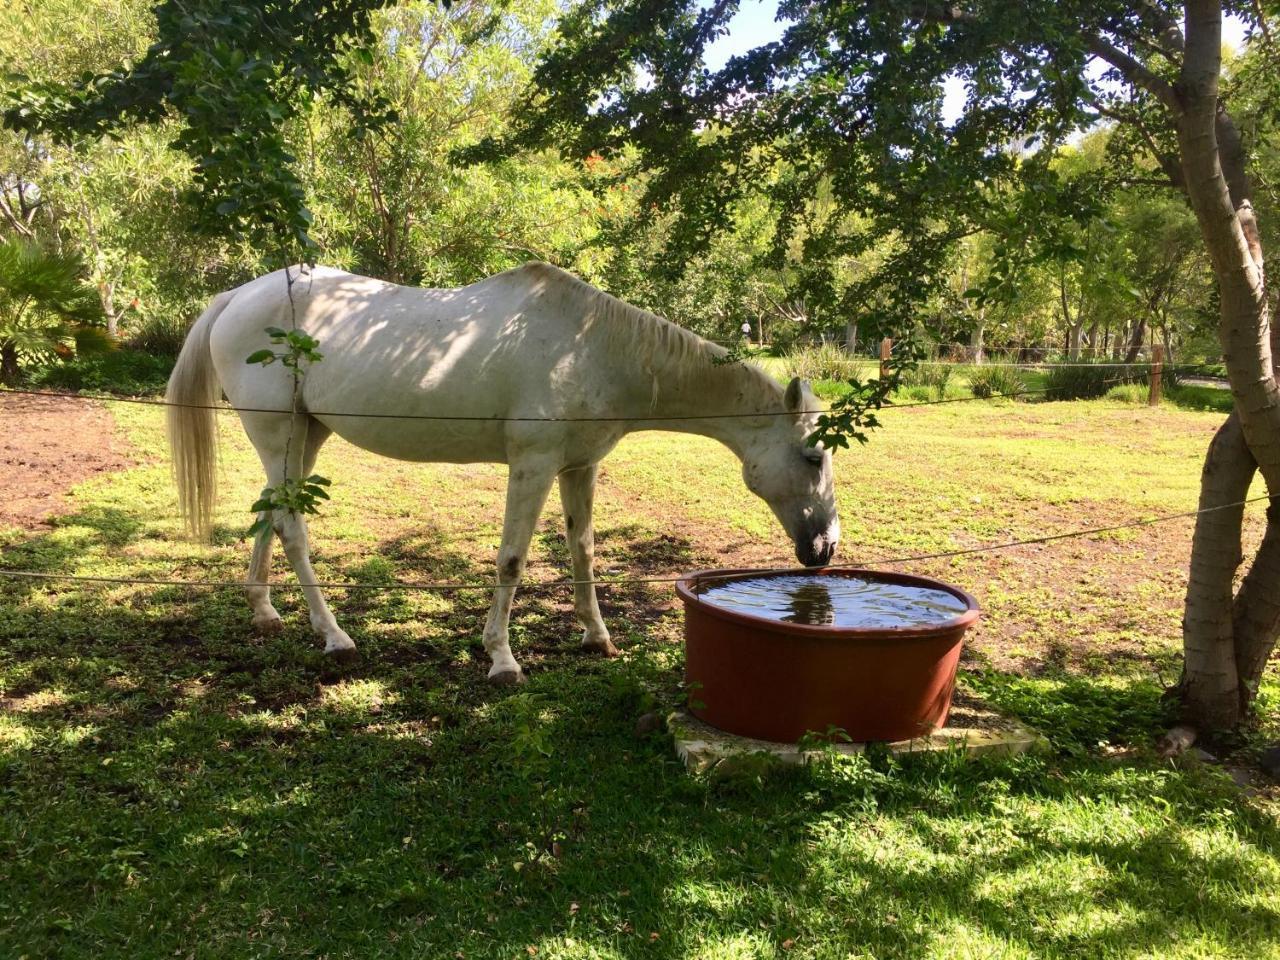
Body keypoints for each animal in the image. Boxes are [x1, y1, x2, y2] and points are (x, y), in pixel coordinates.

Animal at [167, 263, 839, 686]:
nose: (825, 549)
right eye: (813, 457)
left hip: (304, 439)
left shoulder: (579, 467)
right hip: (279, 435)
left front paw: (597, 638)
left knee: (270, 514)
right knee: (292, 528)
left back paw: (264, 611)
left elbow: (582, 549)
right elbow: (513, 560)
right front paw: (502, 661)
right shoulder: (533, 465)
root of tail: (236, 299)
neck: (594, 348)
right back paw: (334, 637)